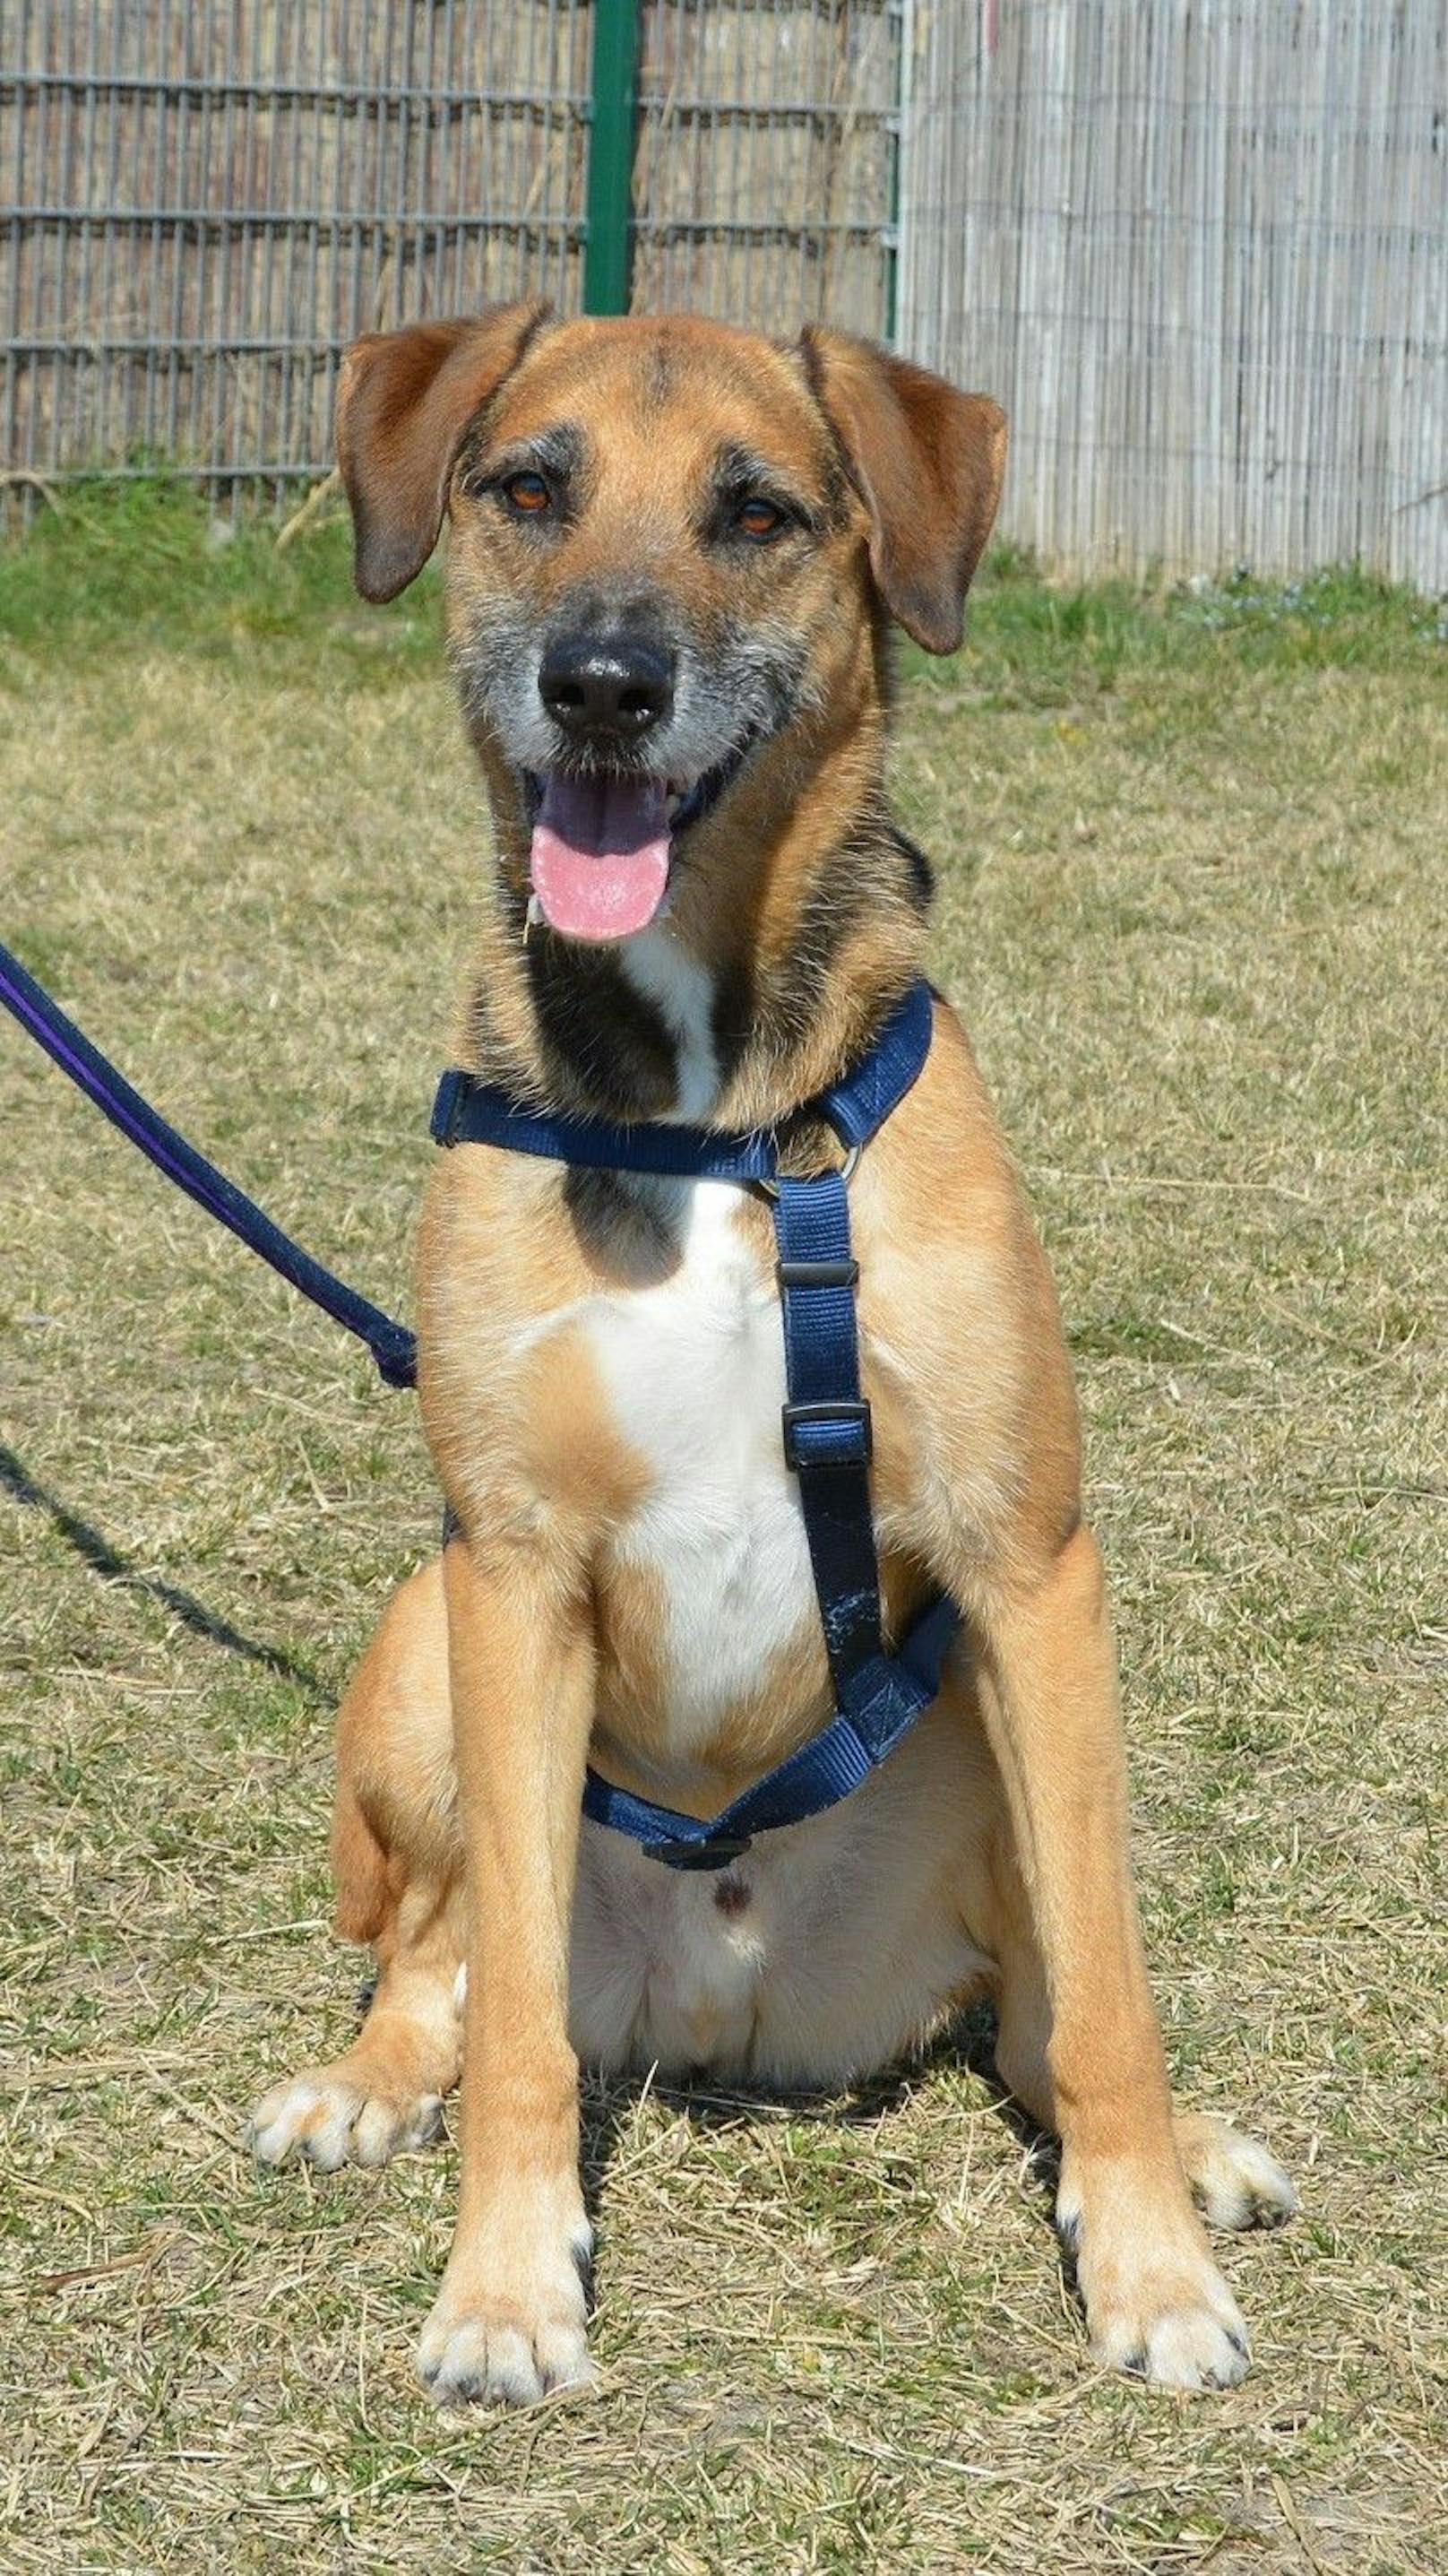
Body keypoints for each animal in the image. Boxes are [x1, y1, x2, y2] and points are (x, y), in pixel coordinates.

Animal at [242, 311, 1288, 2400]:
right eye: (529, 486)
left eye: (759, 513)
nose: (602, 685)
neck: (715, 1116)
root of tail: (735, 2005)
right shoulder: (513, 1564)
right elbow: (515, 2033)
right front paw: (505, 2288)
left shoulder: (1030, 1563)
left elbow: (1109, 1993)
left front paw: (1145, 2262)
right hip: (424, 1640)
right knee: (443, 1953)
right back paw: (366, 2081)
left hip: (986, 1734)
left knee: (1037, 2003)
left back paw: (1187, 2153)